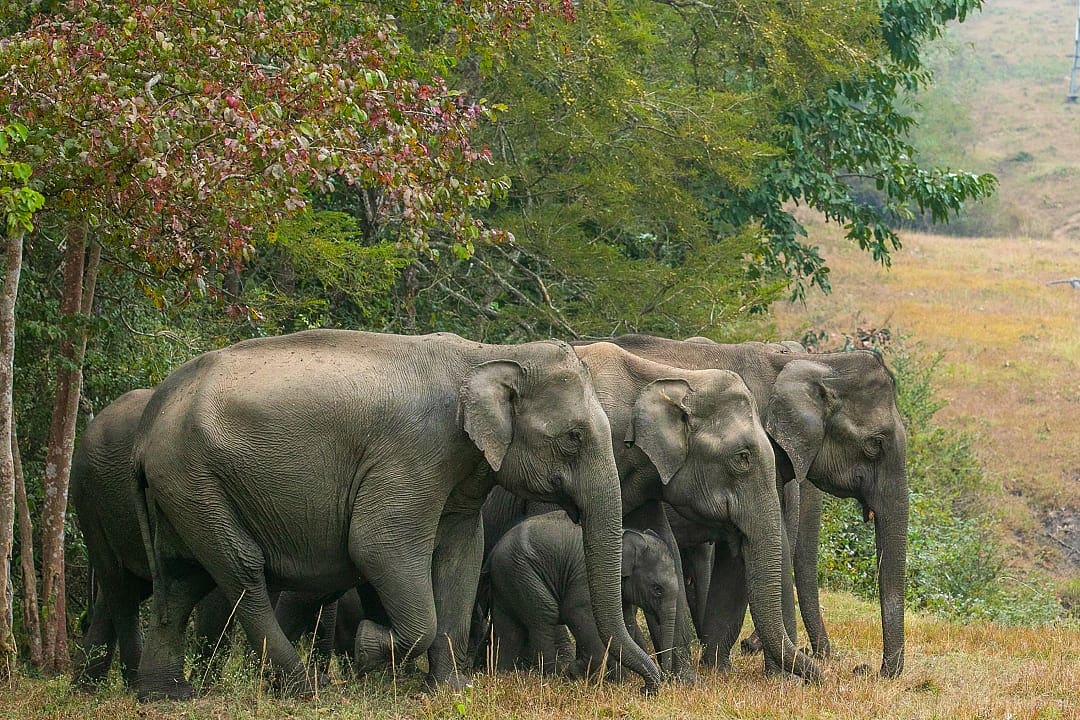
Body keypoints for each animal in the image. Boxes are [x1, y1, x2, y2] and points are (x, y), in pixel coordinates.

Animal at [484, 511, 678, 678]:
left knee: (507, 626)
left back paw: (503, 675)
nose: (666, 677)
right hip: (522, 573)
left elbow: (626, 622)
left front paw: (618, 680)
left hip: (508, 578)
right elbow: (575, 611)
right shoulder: (586, 577)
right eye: (657, 589)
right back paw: (554, 677)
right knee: (544, 616)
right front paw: (576, 671)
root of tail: (494, 550)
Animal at [602, 334, 909, 678]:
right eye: (875, 443)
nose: (868, 670)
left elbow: (740, 554)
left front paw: (718, 670)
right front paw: (777, 677)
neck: (816, 363)